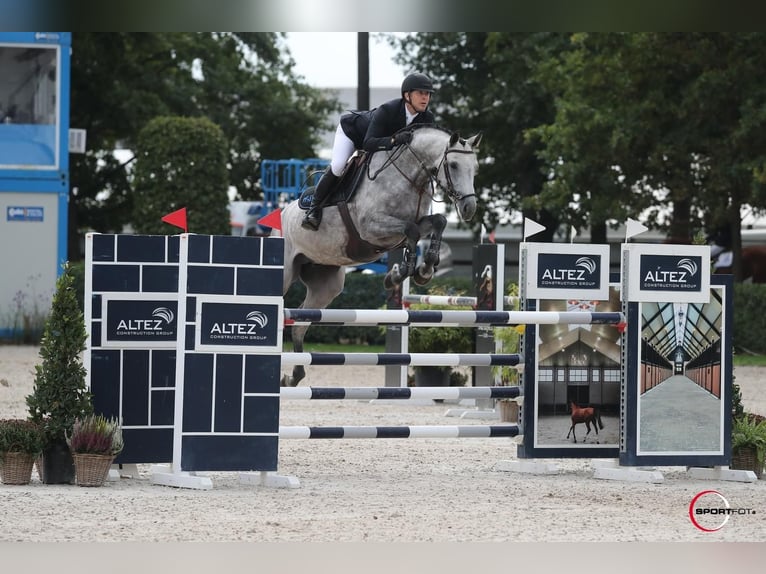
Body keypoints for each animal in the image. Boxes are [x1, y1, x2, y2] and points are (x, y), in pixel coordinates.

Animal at [279, 125, 482, 387]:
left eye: (475, 168)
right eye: (454, 165)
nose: (469, 209)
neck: (410, 177)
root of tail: (282, 214)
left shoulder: (414, 223)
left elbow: (438, 221)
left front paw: (423, 270)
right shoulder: (371, 227)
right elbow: (411, 230)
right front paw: (400, 273)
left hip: (326, 284)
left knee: (299, 324)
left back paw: (293, 377)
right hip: (285, 273)